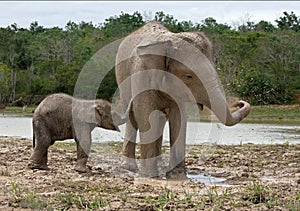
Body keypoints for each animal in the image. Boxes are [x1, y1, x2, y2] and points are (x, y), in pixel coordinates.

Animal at [115, 21, 251, 178]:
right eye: (188, 76)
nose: (239, 102)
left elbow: (178, 117)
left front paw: (177, 175)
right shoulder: (142, 75)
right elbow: (146, 115)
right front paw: (149, 176)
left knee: (160, 119)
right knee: (133, 117)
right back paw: (129, 167)